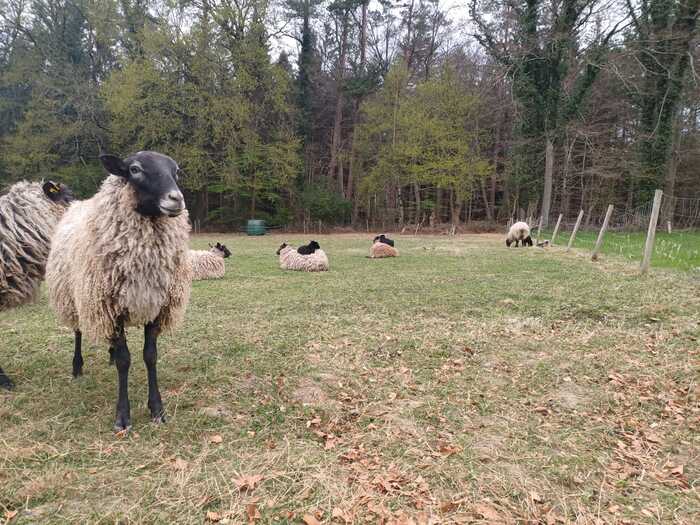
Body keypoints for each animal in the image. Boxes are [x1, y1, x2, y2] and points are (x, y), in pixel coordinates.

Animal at [46, 151, 192, 431]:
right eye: (135, 169)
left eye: (177, 171)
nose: (176, 199)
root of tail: (76, 205)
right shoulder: (109, 308)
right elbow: (126, 361)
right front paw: (122, 416)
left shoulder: (156, 305)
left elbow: (150, 356)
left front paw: (157, 409)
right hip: (77, 295)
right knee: (78, 331)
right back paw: (77, 367)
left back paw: (110, 354)